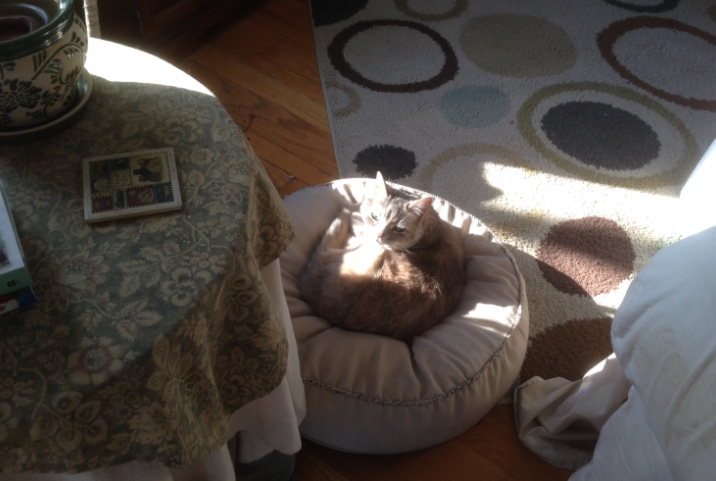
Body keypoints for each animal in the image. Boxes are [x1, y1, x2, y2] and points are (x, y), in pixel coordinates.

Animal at [300, 172, 466, 340]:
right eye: (375, 216)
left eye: (399, 229)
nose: (378, 235)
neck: (432, 236)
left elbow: (356, 223)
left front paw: (354, 214)